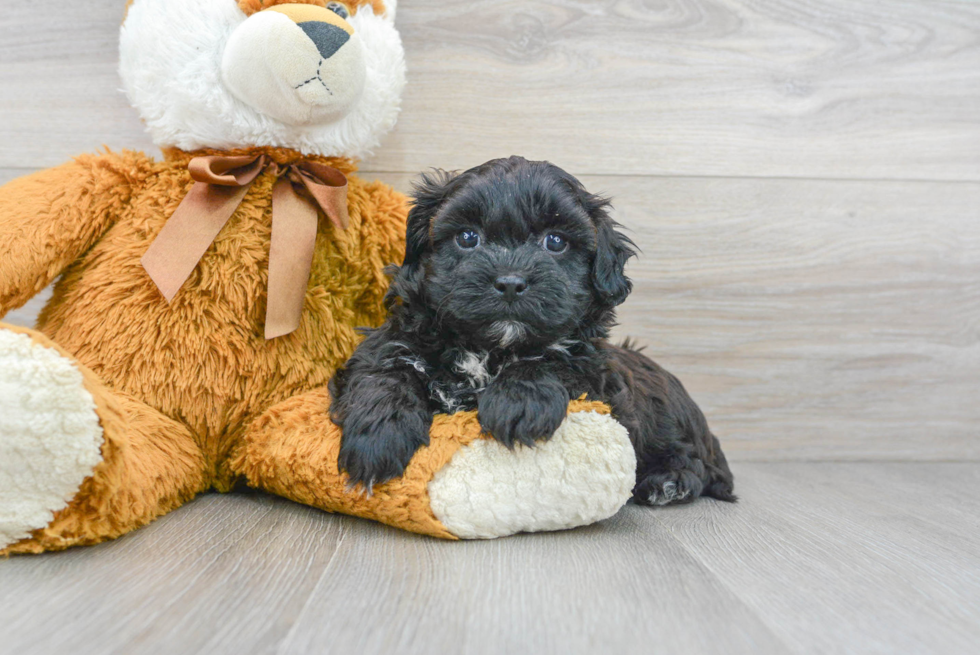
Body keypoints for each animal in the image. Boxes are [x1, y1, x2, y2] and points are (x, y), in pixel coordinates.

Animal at [330, 156, 736, 504]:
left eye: (555, 241)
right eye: (467, 237)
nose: (510, 282)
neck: (490, 347)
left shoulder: (600, 380)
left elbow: (553, 360)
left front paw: (519, 402)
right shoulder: (390, 343)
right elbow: (386, 373)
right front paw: (379, 437)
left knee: (695, 460)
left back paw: (669, 482)